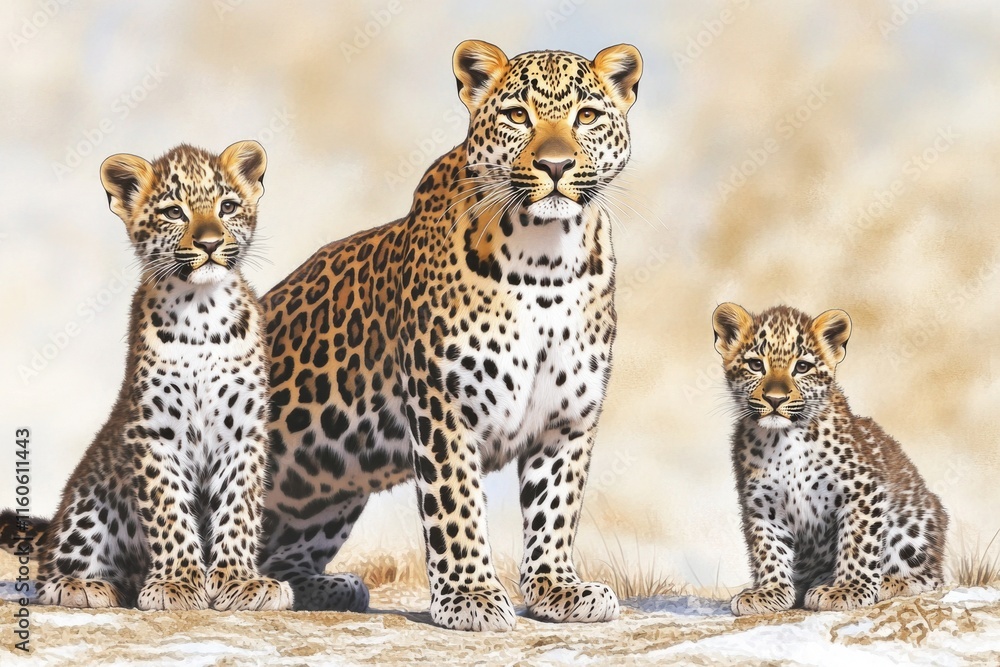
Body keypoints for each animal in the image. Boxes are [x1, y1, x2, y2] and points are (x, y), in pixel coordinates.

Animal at [0, 141, 292, 612]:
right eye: (174, 213)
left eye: (227, 207)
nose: (210, 243)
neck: (202, 313)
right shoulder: (155, 431)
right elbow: (168, 509)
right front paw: (177, 584)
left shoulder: (244, 432)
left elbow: (239, 506)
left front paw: (241, 581)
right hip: (90, 501)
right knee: (50, 569)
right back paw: (85, 585)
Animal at [258, 40, 643, 631]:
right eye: (517, 116)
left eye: (587, 116)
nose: (556, 165)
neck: (546, 263)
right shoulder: (443, 405)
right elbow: (455, 503)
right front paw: (470, 597)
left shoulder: (568, 417)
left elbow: (556, 505)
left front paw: (557, 589)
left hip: (330, 489)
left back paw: (329, 587)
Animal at [712, 303, 947, 616]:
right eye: (756, 365)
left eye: (802, 367)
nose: (775, 399)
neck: (783, 440)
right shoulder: (762, 504)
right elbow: (768, 548)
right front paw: (770, 592)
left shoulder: (863, 492)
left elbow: (858, 543)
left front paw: (848, 589)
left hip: (913, 523)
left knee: (929, 576)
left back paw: (887, 582)